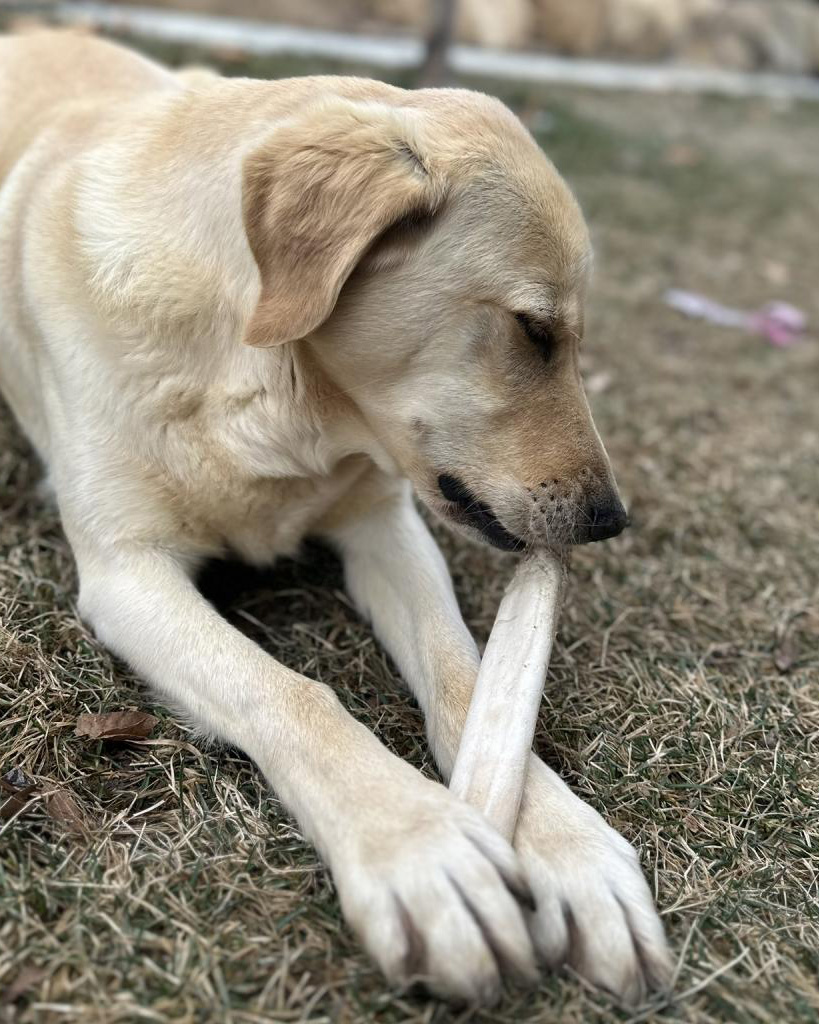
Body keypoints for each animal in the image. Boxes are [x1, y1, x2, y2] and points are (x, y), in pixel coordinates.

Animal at [0, 29, 667, 1007]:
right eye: (533, 330)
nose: (607, 520)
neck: (265, 389)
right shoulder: (127, 574)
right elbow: (290, 693)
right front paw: (419, 846)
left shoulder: (387, 525)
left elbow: (465, 674)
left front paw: (564, 842)